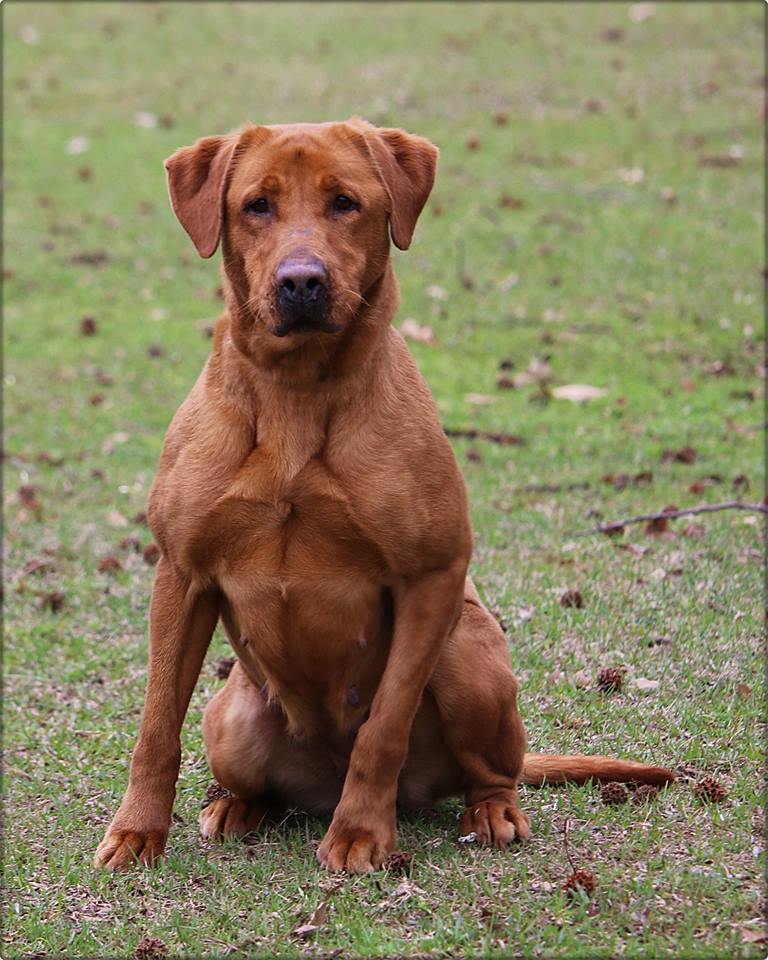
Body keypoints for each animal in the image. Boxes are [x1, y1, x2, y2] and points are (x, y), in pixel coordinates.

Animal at [94, 116, 672, 872]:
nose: (302, 283)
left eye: (345, 202)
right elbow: (157, 724)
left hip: (467, 655)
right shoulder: (181, 575)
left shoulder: (434, 576)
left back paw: (491, 811)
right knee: (248, 774)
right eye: (256, 205)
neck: (297, 393)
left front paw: (362, 832)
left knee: (493, 771)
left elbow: (384, 728)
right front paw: (136, 831)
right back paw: (236, 806)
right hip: (234, 716)